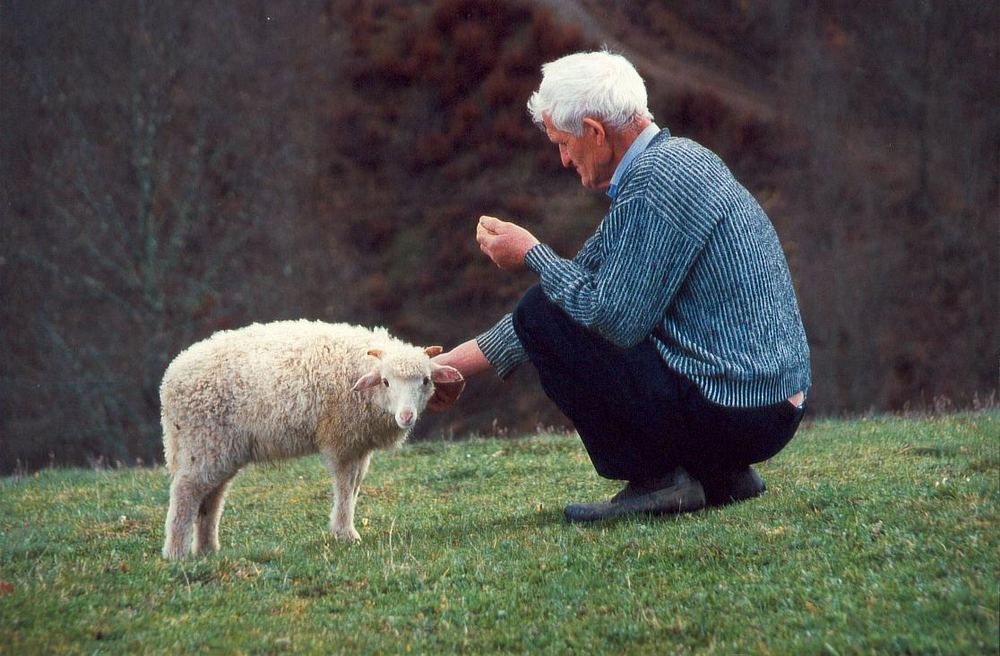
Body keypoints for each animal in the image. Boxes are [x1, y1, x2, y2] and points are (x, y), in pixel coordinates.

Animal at [160, 318, 464, 560]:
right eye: (386, 382)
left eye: (425, 380)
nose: (406, 416)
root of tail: (171, 378)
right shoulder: (341, 439)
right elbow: (344, 486)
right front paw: (345, 533)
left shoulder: (359, 443)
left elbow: (355, 485)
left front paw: (345, 528)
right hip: (203, 439)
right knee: (186, 491)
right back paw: (176, 553)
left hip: (219, 447)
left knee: (212, 496)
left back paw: (207, 550)